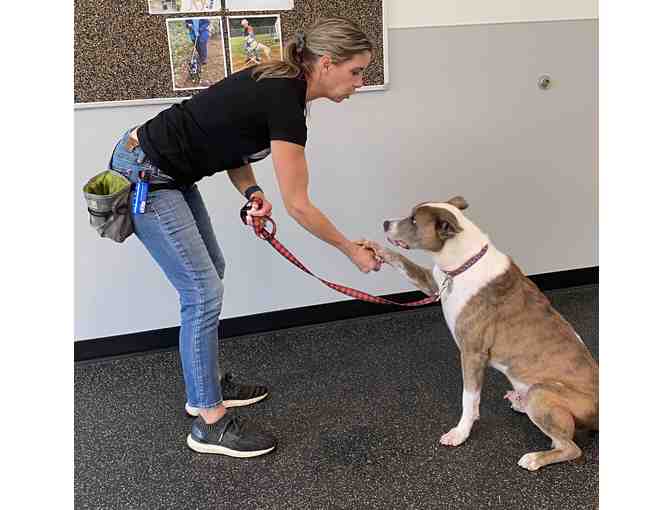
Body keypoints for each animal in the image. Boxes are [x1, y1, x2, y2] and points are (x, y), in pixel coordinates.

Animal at [362, 197, 600, 472]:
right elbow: (403, 262)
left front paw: (460, 433)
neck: (461, 264)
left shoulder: (472, 354)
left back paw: (534, 458)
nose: (385, 223)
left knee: (570, 447)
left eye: (413, 220)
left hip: (542, 393)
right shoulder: (432, 282)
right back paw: (519, 402)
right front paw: (375, 248)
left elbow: (469, 398)